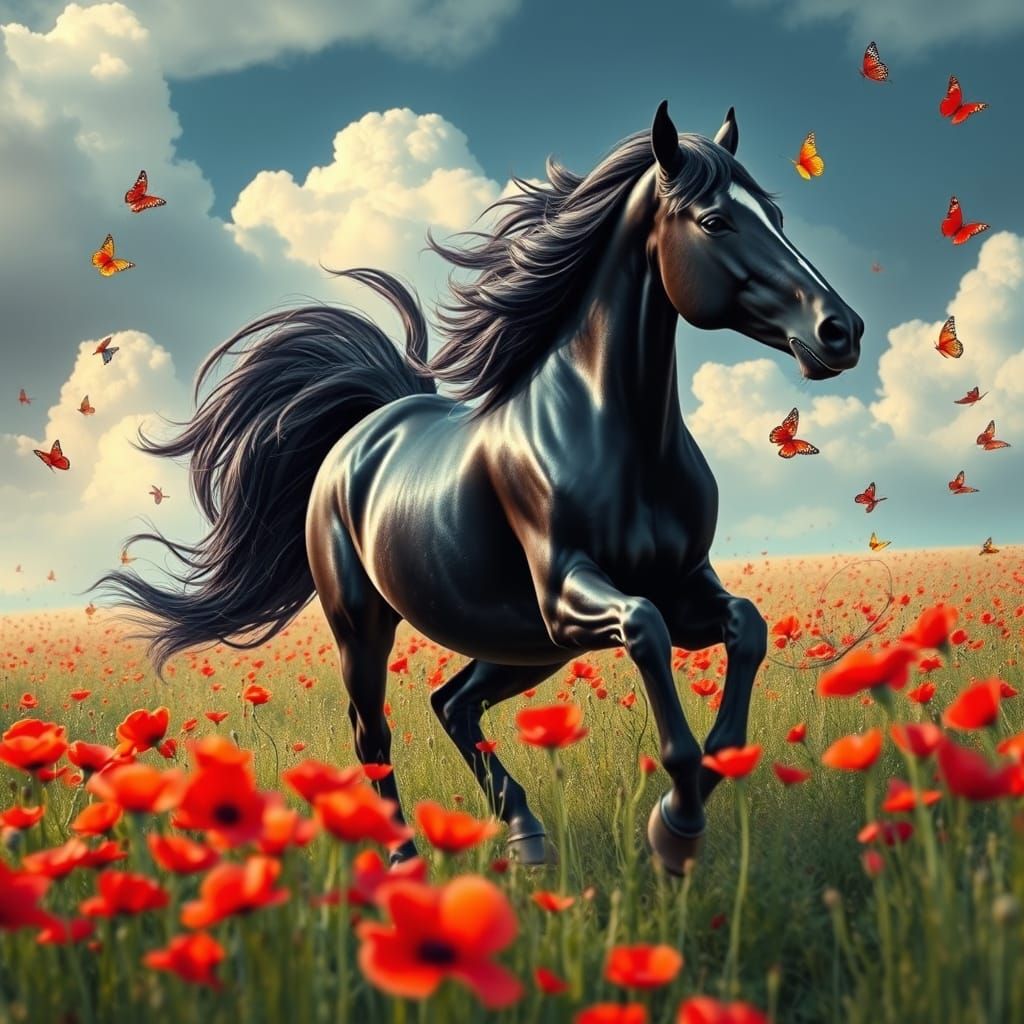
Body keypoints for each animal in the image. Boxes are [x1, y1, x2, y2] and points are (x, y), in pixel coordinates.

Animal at [99, 101, 862, 874]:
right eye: (714, 221)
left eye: (775, 213)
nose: (842, 330)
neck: (619, 438)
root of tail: (363, 429)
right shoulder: (570, 596)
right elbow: (646, 630)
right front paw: (676, 823)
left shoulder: (681, 587)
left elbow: (747, 627)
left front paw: (683, 818)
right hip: (375, 625)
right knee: (373, 735)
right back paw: (405, 861)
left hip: (525, 645)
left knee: (451, 703)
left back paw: (526, 835)